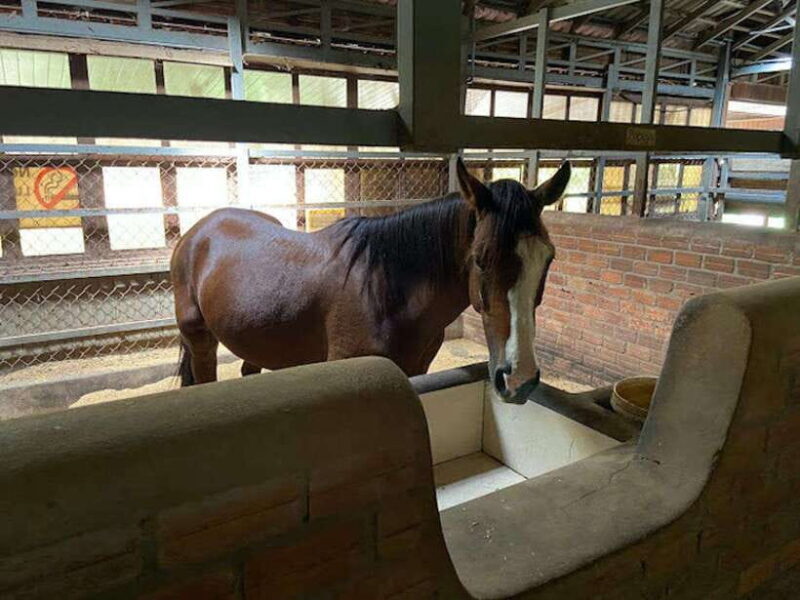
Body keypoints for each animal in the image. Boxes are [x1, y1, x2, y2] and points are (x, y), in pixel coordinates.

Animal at [170, 157, 570, 404]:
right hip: (200, 341)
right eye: (482, 259)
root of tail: (197, 233)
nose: (519, 380)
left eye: (548, 258)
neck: (384, 293)